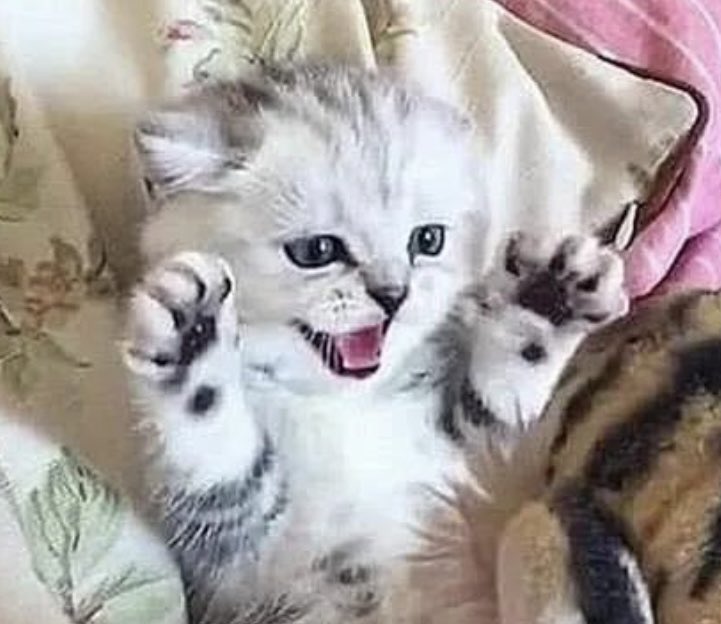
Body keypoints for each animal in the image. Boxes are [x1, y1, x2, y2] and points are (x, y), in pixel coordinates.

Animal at [122, 62, 627, 623]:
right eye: (316, 251)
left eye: (427, 240)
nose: (394, 295)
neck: (344, 407)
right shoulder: (238, 561)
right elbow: (220, 455)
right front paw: (196, 335)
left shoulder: (481, 468)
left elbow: (500, 402)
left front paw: (548, 301)